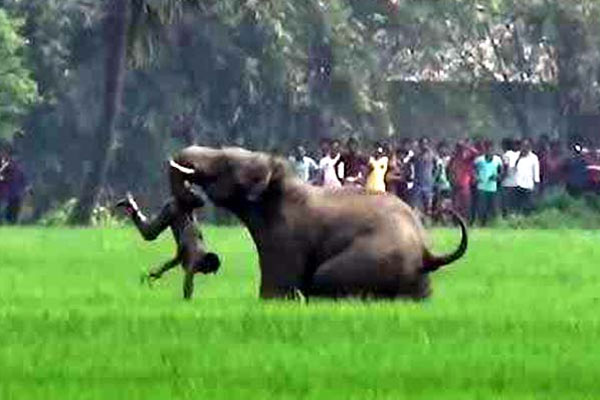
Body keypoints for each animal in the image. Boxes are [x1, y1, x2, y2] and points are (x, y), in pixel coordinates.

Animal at [169, 145, 468, 298]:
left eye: (227, 163)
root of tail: (427, 253)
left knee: (324, 277)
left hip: (373, 258)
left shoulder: (286, 236)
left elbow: (278, 288)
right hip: (418, 280)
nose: (193, 198)